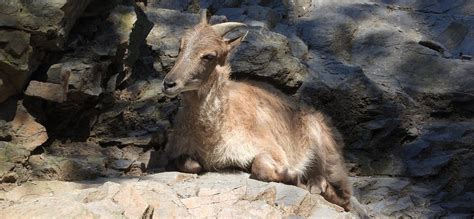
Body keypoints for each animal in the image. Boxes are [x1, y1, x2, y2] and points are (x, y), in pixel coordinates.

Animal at [163, 10, 352, 210]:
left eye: (209, 56)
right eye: (180, 46)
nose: (169, 83)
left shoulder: (271, 148)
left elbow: (260, 166)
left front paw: (293, 176)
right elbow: (189, 165)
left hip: (328, 156)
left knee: (346, 196)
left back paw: (316, 185)